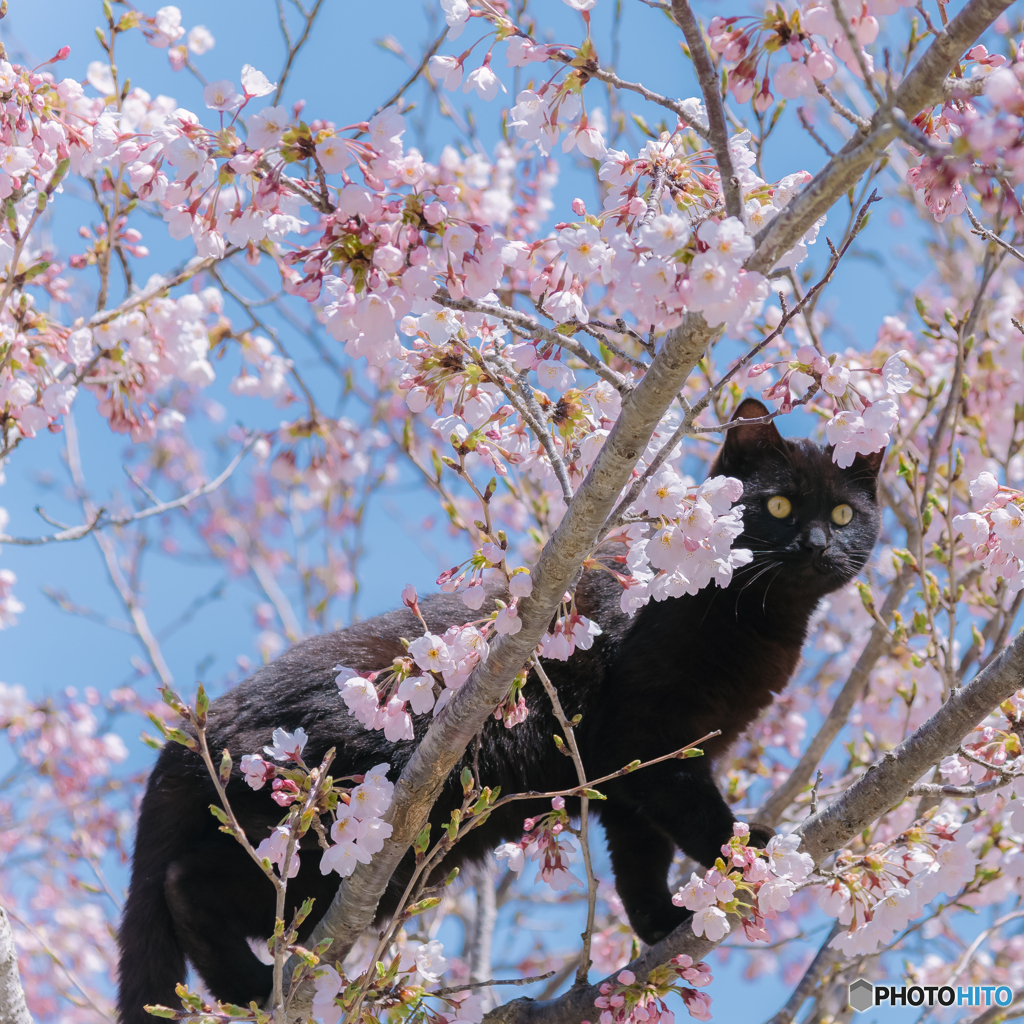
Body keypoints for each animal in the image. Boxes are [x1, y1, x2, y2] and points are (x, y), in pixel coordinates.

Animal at [114, 397, 880, 1015]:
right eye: (778, 505)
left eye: (844, 514)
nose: (817, 543)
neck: (758, 617)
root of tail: (193, 730)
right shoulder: (645, 736)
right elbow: (693, 817)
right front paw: (748, 850)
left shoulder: (636, 769)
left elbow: (639, 854)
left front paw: (662, 921)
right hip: (321, 833)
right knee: (187, 884)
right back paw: (251, 990)